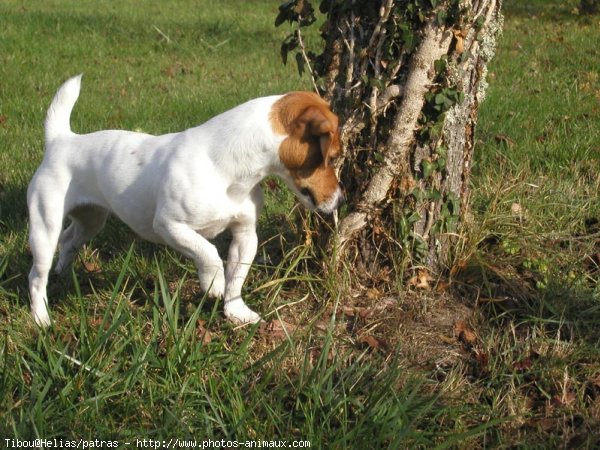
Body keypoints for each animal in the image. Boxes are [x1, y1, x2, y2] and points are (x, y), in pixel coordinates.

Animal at [28, 74, 344, 326]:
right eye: (333, 157)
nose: (341, 201)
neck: (229, 168)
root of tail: (61, 140)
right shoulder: (169, 226)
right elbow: (208, 253)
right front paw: (213, 282)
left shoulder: (245, 233)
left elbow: (237, 278)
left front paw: (236, 312)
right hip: (45, 226)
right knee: (36, 275)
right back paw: (41, 318)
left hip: (91, 219)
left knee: (69, 241)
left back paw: (64, 275)